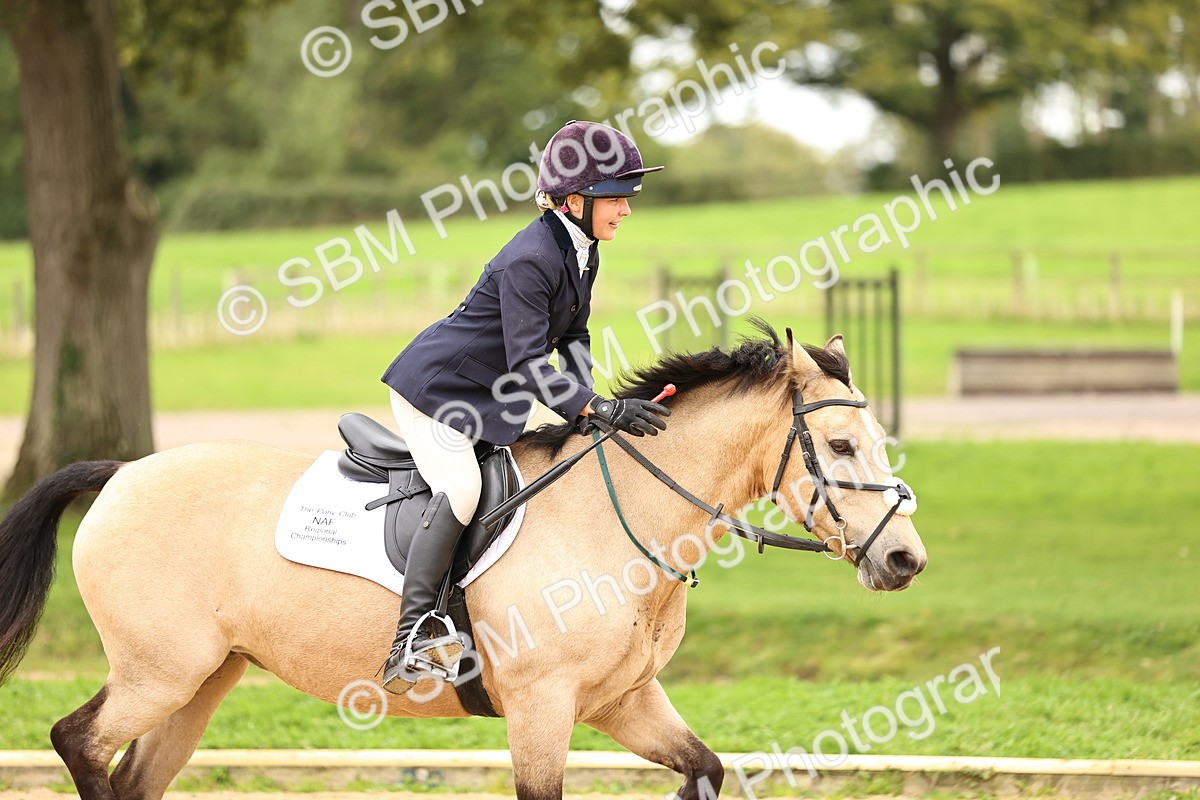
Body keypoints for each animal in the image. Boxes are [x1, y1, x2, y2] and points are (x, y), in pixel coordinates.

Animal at [0, 322, 926, 800]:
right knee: (78, 740)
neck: (624, 520)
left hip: (201, 680)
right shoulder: (543, 709)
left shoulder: (624, 702)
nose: (906, 560)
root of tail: (120, 472)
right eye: (842, 447)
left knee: (133, 774)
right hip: (159, 671)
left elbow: (704, 769)